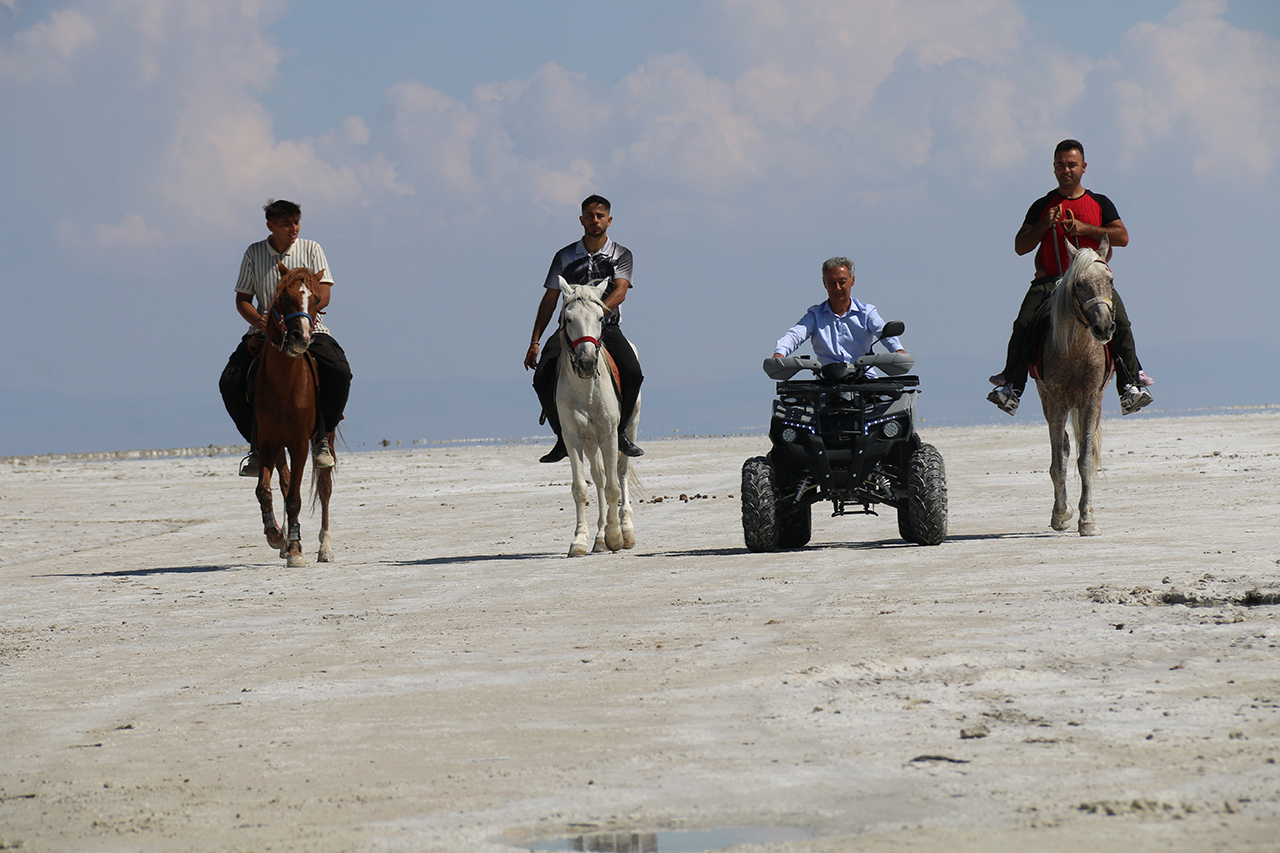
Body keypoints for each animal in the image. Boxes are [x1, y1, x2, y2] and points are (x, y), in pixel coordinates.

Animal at [253, 261, 335, 566]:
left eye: (316, 300)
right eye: (285, 297)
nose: (302, 338)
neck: (284, 383)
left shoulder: (299, 443)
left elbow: (295, 499)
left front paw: (297, 550)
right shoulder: (268, 441)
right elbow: (265, 490)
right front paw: (276, 535)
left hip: (325, 435)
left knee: (324, 487)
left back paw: (325, 547)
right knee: (284, 482)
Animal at [555, 276, 639, 557]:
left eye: (601, 318)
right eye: (568, 319)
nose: (587, 363)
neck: (586, 390)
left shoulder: (610, 435)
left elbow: (614, 487)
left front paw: (615, 536)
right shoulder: (573, 438)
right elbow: (581, 489)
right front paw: (580, 540)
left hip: (629, 428)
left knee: (621, 473)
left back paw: (625, 531)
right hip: (591, 443)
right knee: (600, 478)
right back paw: (599, 538)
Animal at [1033, 235, 1114, 536]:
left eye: (1110, 280)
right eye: (1079, 283)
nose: (1104, 327)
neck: (1076, 351)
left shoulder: (1091, 401)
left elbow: (1086, 461)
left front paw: (1088, 519)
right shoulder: (1056, 402)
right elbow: (1059, 463)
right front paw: (1060, 514)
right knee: (1064, 447)